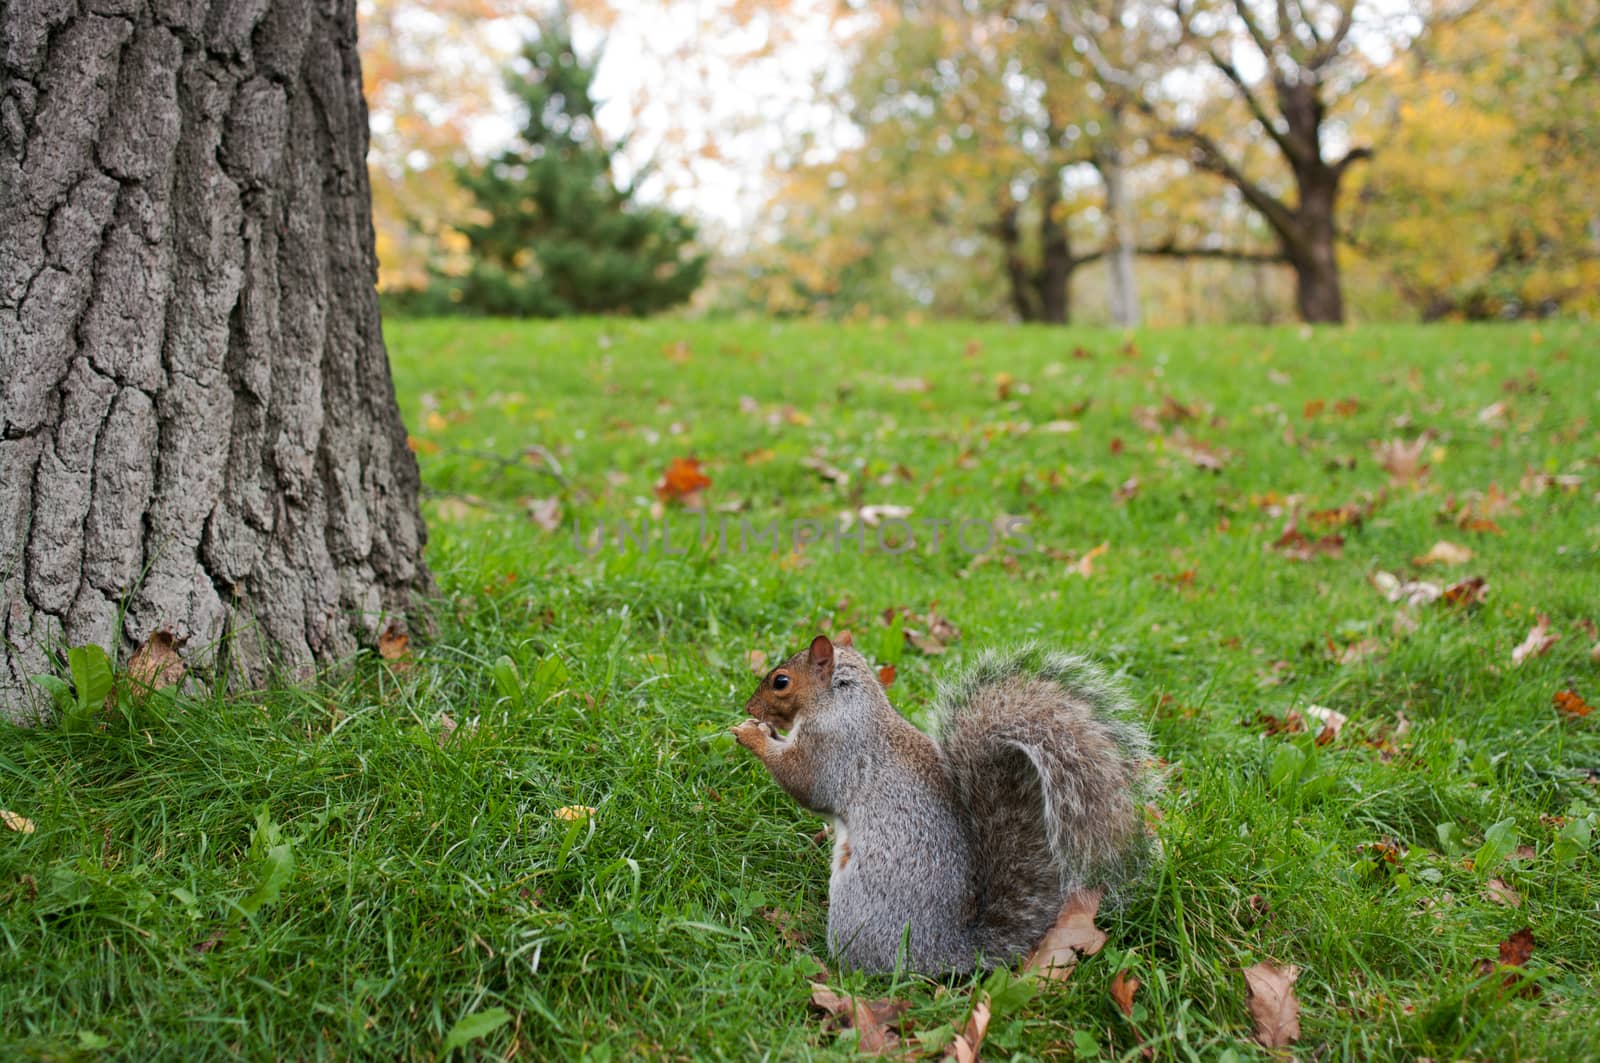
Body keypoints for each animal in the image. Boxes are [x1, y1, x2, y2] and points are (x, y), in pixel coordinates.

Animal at [732, 633, 1158, 973]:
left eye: (781, 681)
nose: (750, 708)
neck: (846, 701)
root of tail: (946, 952)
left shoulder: (834, 747)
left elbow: (806, 784)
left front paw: (752, 735)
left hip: (858, 907)